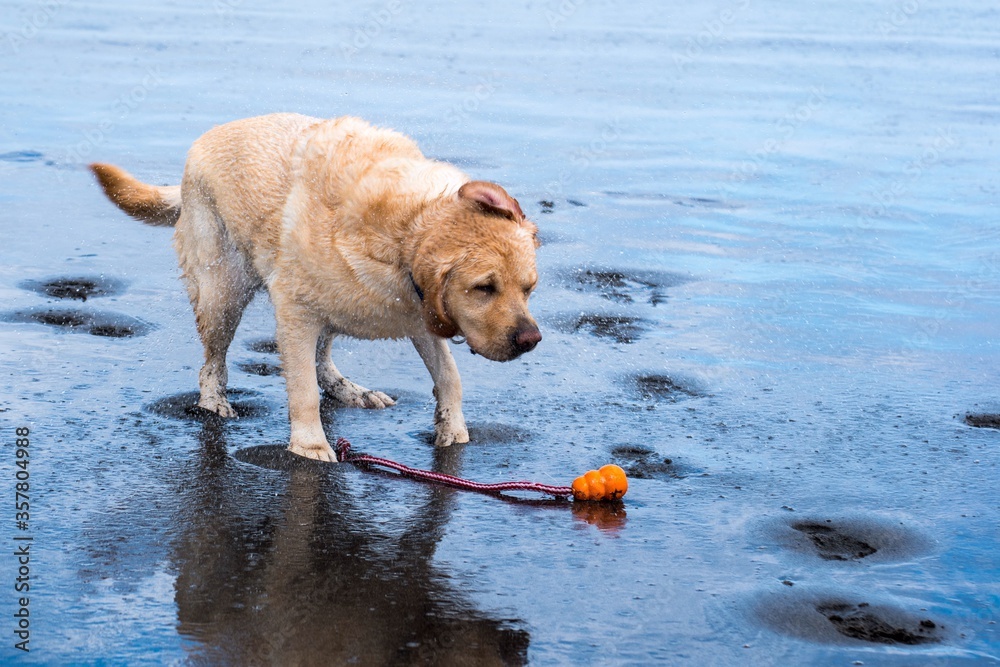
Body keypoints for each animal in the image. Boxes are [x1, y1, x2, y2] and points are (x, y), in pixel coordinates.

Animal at [93, 113, 544, 460]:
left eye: (529, 288)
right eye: (483, 288)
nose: (531, 340)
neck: (404, 232)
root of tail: (203, 142)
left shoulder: (420, 314)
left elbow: (450, 375)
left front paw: (453, 428)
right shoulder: (296, 311)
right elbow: (302, 390)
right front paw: (309, 447)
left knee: (323, 359)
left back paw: (351, 390)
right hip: (223, 294)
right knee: (212, 363)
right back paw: (214, 402)